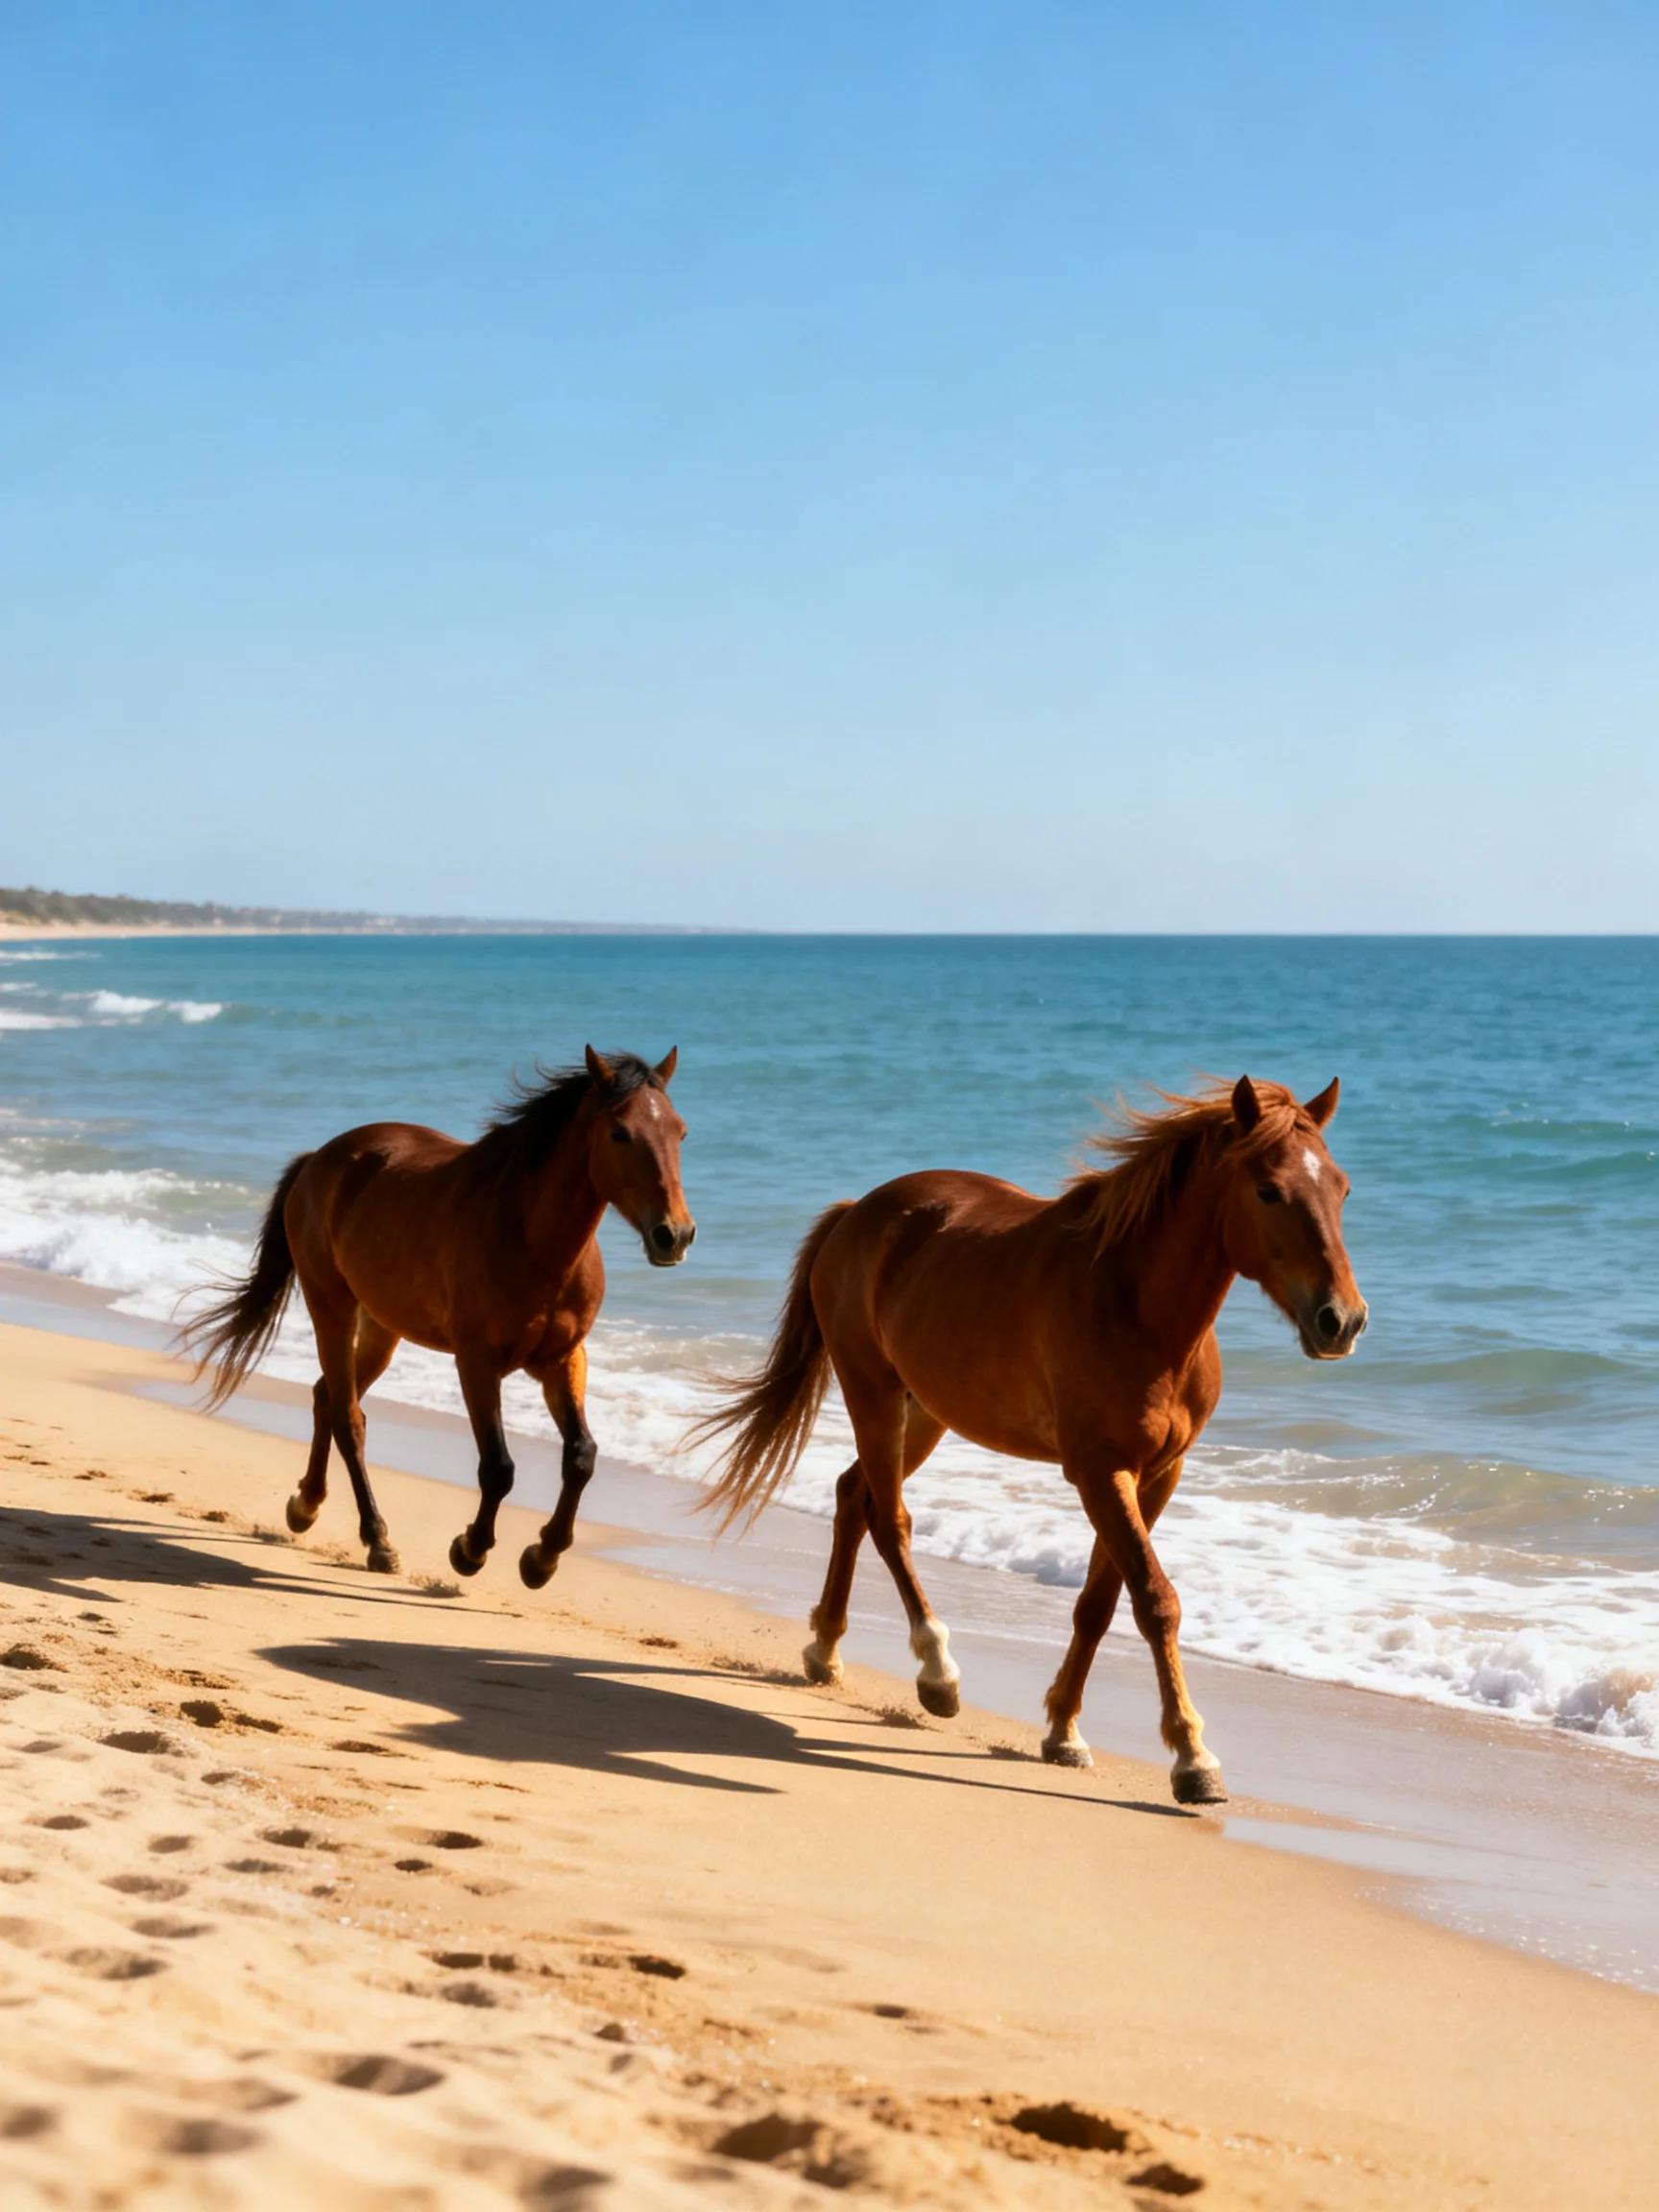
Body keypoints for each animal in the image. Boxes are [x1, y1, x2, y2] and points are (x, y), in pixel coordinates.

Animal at [183, 1047, 694, 1586]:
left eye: (680, 1132)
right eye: (620, 1132)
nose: (674, 1234)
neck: (532, 1240)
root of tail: (319, 1159)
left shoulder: (563, 1359)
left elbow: (580, 1456)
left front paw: (542, 1558)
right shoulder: (477, 1363)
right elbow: (498, 1468)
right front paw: (470, 1550)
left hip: (383, 1327)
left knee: (328, 1397)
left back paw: (307, 1505)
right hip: (332, 1308)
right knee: (348, 1419)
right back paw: (378, 1541)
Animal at [693, 1075, 1364, 1805]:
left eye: (1342, 1189)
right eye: (1269, 1190)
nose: (1341, 1320)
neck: (1140, 1309)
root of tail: (856, 1213)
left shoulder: (1159, 1473)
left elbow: (1100, 1604)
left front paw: (1064, 1731)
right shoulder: (1099, 1470)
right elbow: (1155, 1601)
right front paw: (1192, 1758)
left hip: (926, 1411)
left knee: (853, 1498)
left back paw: (826, 1650)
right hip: (873, 1394)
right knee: (890, 1520)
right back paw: (937, 1673)